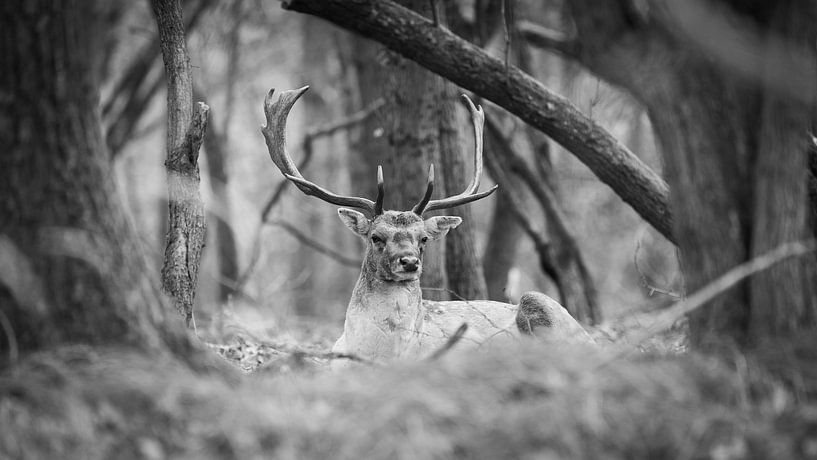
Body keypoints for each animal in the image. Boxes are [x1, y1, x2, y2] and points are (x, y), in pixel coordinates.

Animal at [261, 86, 593, 364]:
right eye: (375, 237)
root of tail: (589, 336)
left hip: (542, 304)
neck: (376, 354)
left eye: (423, 239)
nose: (409, 262)